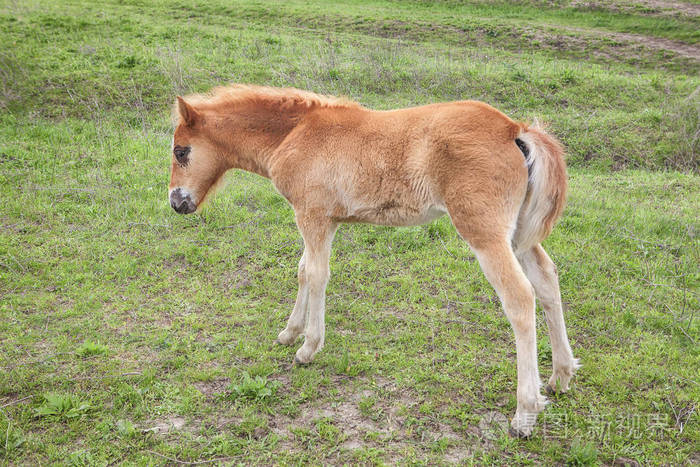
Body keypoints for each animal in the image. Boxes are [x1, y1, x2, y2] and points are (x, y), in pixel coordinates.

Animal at [168, 85, 580, 438]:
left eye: (181, 151)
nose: (176, 202)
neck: (295, 134)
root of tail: (515, 130)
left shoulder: (312, 216)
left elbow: (316, 275)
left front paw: (308, 348)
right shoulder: (323, 220)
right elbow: (302, 272)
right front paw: (289, 332)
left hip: (485, 233)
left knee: (520, 298)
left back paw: (525, 414)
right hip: (519, 235)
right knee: (547, 281)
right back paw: (560, 377)